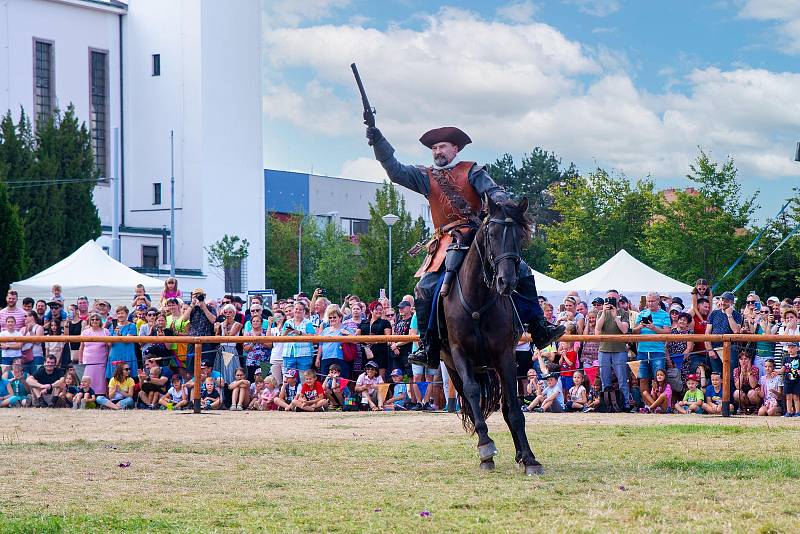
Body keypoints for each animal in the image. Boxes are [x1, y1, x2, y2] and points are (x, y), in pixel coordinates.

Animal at [438, 195, 544, 476]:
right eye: (492, 234)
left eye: (519, 235)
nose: (507, 282)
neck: (477, 299)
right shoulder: (459, 353)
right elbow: (473, 393)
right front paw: (485, 447)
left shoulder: (505, 355)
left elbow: (515, 408)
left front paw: (530, 458)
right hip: (452, 366)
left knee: (507, 405)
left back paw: (520, 455)